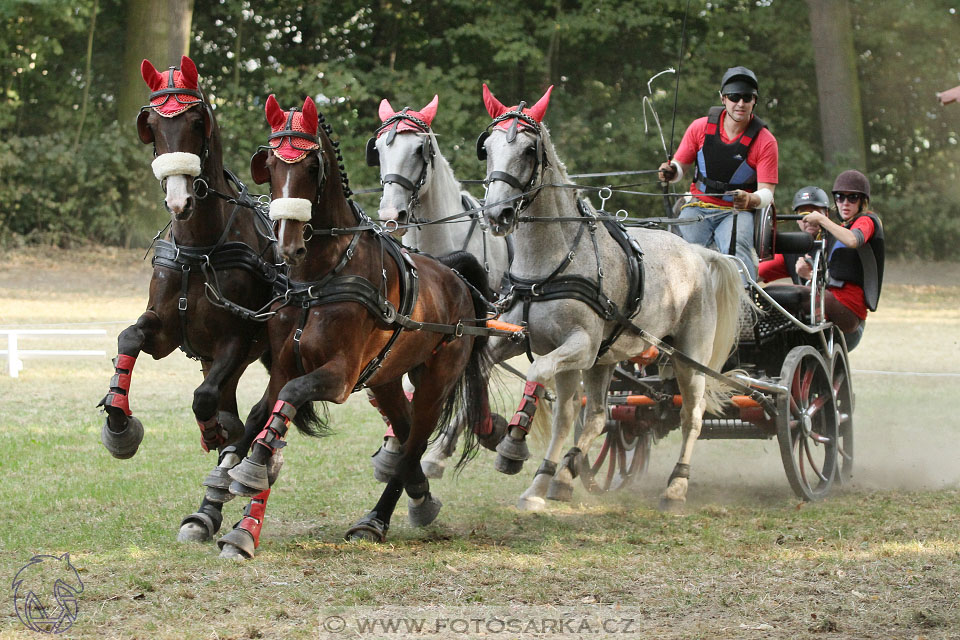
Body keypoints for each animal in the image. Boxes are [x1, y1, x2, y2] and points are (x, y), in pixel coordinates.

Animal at [100, 56, 282, 540]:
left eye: (196, 121)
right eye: (152, 125)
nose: (179, 199)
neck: (201, 249)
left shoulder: (236, 341)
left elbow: (204, 401)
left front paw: (213, 432)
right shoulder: (164, 331)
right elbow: (129, 338)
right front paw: (119, 424)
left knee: (256, 418)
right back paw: (207, 512)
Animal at [214, 92, 492, 556]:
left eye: (312, 167)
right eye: (269, 164)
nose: (287, 243)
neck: (318, 279)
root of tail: (455, 275)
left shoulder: (340, 377)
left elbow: (289, 397)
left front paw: (251, 469)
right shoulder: (285, 365)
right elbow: (259, 412)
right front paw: (224, 482)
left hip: (436, 379)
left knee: (416, 439)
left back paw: (377, 519)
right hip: (387, 377)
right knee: (405, 430)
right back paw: (419, 495)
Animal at [476, 85, 748, 510]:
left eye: (528, 149)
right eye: (486, 148)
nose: (496, 214)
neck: (551, 262)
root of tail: (698, 253)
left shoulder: (580, 346)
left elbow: (538, 376)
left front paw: (513, 444)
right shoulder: (522, 338)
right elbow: (485, 366)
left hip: (689, 356)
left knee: (692, 415)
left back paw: (675, 487)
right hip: (604, 360)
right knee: (598, 415)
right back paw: (560, 477)